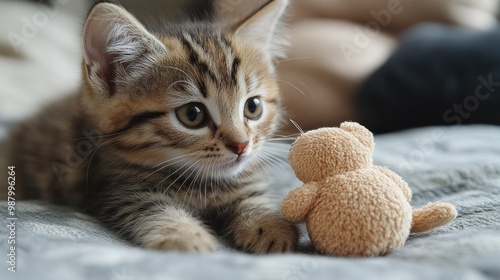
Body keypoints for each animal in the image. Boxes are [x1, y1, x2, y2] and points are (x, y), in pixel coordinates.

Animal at [1, 0, 298, 254]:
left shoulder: (244, 179)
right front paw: (185, 236)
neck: (204, 184)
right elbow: (154, 210)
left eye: (253, 107)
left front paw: (271, 227)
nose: (241, 145)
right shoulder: (120, 190)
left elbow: (253, 197)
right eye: (192, 114)